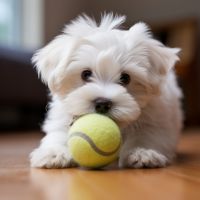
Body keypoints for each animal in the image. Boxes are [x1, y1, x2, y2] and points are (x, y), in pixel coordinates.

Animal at [30, 13, 183, 168]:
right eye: (85, 74)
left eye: (125, 78)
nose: (102, 103)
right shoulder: (62, 116)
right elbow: (59, 133)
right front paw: (54, 153)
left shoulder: (154, 120)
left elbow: (146, 135)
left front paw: (143, 152)